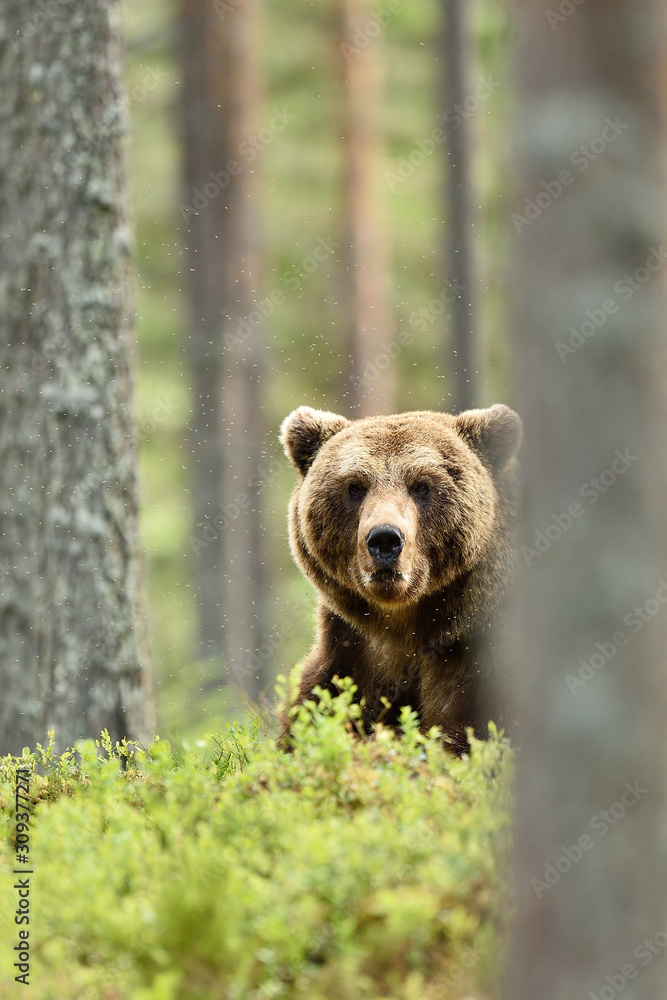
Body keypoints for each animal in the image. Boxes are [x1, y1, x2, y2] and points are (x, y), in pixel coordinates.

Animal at [279, 404, 522, 753]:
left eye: (422, 485)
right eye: (355, 486)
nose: (384, 539)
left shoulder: (474, 660)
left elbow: (459, 736)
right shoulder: (351, 654)